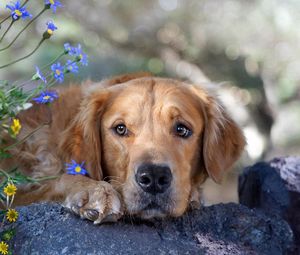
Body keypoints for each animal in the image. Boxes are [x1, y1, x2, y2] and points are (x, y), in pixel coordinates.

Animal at [1, 73, 244, 223]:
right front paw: (94, 191)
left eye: (182, 129)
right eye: (120, 128)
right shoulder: (11, 195)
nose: (154, 178)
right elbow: (57, 180)